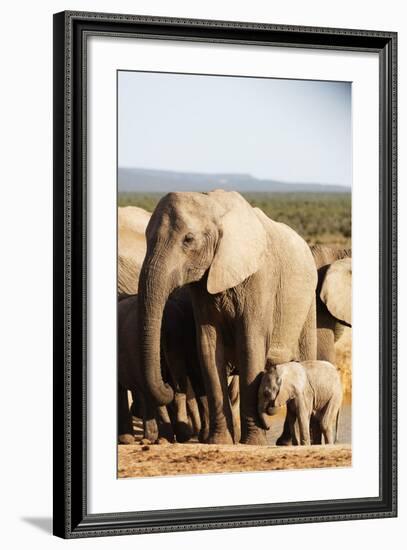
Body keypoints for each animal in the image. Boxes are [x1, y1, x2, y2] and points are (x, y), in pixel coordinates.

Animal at [137, 192, 318, 446]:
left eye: (188, 240)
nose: (168, 385)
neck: (213, 204)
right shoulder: (202, 285)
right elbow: (209, 347)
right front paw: (219, 441)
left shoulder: (260, 277)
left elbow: (250, 345)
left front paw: (253, 444)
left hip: (308, 304)